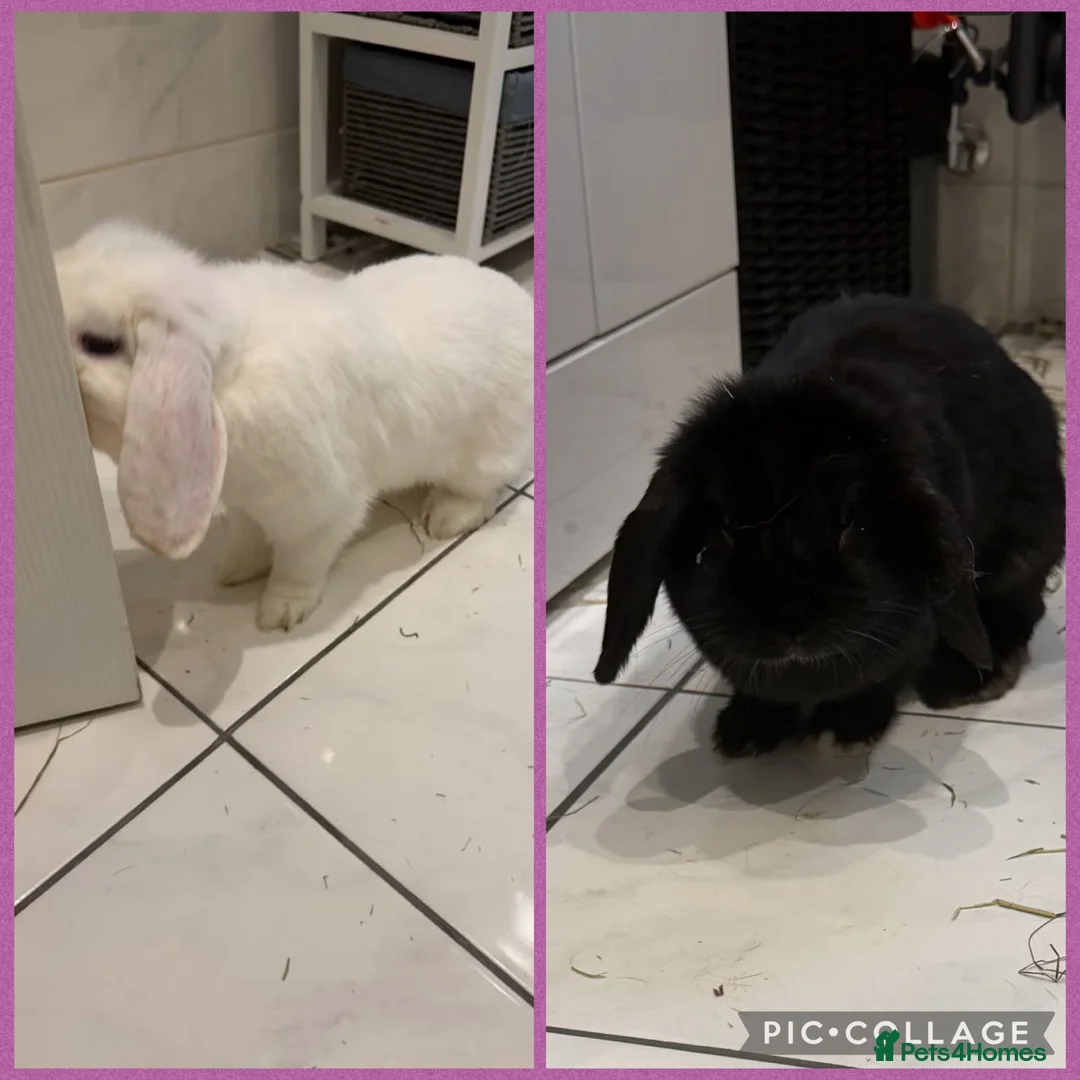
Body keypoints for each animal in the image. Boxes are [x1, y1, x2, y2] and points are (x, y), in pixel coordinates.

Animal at [53, 220, 534, 631]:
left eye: (99, 344)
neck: (226, 379)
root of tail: (524, 305)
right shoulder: (243, 504)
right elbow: (248, 537)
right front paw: (235, 571)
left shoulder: (320, 514)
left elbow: (298, 565)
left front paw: (278, 613)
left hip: (486, 453)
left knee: (481, 491)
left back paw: (445, 518)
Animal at [595, 294, 1064, 757]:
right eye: (722, 527)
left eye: (850, 521)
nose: (789, 620)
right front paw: (746, 730)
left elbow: (882, 676)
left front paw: (846, 728)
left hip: (1022, 554)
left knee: (1020, 609)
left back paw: (969, 680)